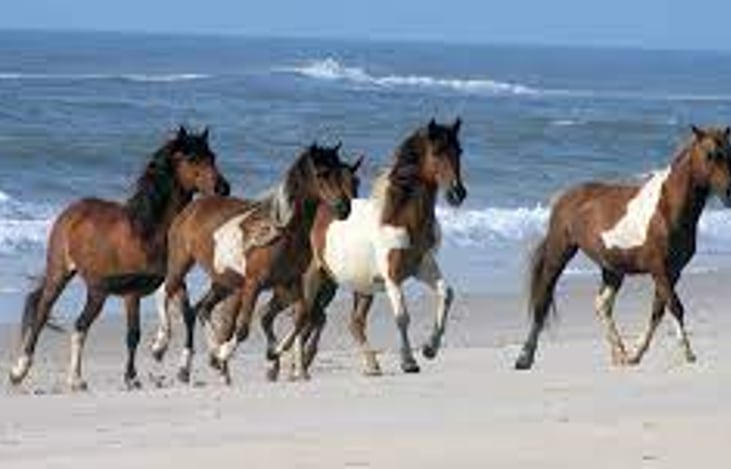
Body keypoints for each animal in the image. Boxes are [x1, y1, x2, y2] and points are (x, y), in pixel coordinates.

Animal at [8, 126, 230, 391]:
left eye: (212, 156)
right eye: (192, 158)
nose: (223, 188)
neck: (149, 230)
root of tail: (73, 210)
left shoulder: (175, 280)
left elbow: (187, 315)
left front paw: (178, 364)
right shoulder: (131, 292)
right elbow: (133, 334)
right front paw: (133, 375)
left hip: (96, 290)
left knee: (78, 324)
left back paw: (75, 378)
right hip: (61, 275)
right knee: (46, 315)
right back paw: (26, 372)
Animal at [152, 142, 361, 384]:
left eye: (344, 175)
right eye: (323, 173)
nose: (344, 208)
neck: (283, 232)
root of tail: (190, 209)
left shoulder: (290, 284)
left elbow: (299, 319)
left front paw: (273, 354)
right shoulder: (254, 284)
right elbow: (244, 328)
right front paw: (227, 353)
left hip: (224, 282)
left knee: (201, 309)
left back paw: (208, 358)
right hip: (181, 264)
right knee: (165, 292)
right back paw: (161, 347)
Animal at [258, 118, 467, 379]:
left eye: (459, 151)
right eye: (437, 152)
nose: (457, 193)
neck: (400, 219)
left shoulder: (423, 268)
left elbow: (446, 294)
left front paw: (430, 349)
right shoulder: (392, 277)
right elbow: (402, 316)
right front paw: (408, 362)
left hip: (348, 286)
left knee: (343, 321)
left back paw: (368, 366)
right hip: (312, 280)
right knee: (300, 316)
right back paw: (290, 363)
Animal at [514, 125, 731, 370]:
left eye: (729, 154)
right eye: (710, 155)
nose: (729, 192)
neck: (666, 209)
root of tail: (565, 196)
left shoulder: (674, 271)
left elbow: (658, 310)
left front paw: (636, 353)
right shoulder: (659, 269)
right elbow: (675, 307)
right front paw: (688, 353)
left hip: (612, 268)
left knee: (602, 304)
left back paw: (620, 354)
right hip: (558, 253)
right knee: (543, 299)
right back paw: (524, 357)